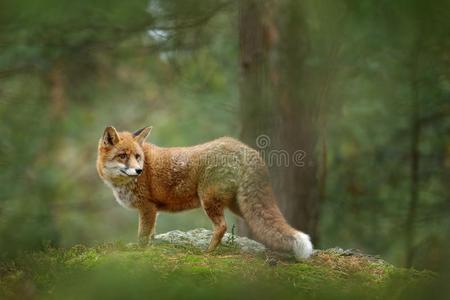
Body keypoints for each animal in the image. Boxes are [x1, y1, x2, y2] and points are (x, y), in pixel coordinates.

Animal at [96, 125, 312, 258]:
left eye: (137, 156)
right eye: (123, 156)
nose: (138, 171)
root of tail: (244, 147)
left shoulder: (147, 208)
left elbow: (143, 236)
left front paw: (140, 252)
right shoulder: (152, 211)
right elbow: (151, 235)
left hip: (208, 200)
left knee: (222, 226)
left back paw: (208, 252)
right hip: (239, 205)